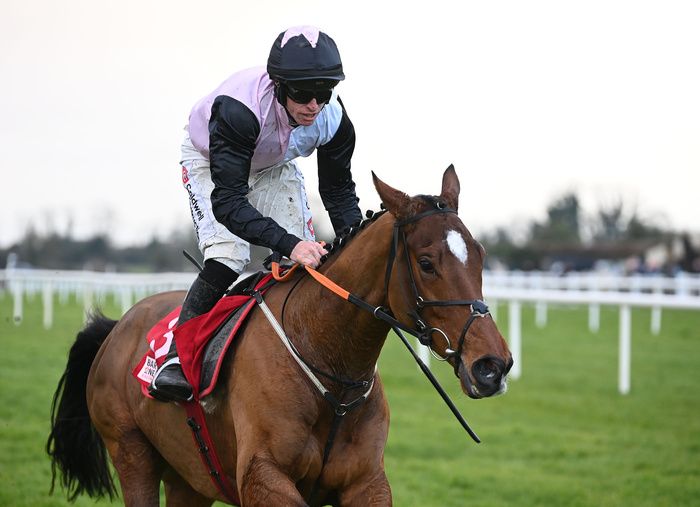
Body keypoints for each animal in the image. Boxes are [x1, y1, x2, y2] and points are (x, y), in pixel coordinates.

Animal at [46, 165, 512, 506]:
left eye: (481, 256)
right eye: (428, 263)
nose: (492, 365)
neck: (329, 368)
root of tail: (117, 327)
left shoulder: (367, 483)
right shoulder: (263, 478)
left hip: (189, 478)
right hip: (131, 452)